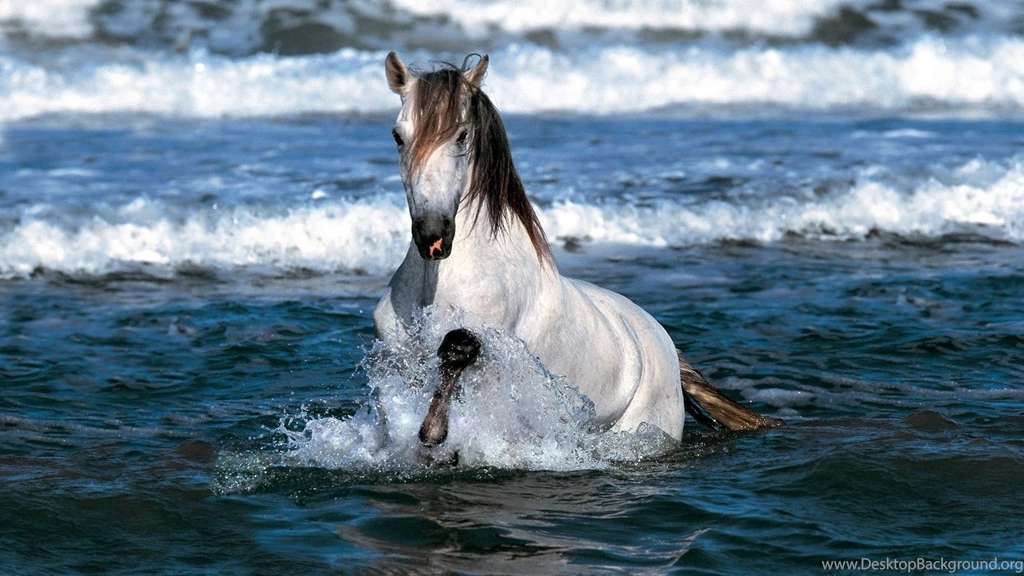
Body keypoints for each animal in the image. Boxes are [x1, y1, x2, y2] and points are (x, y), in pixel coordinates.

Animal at [373, 52, 781, 446]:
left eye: (461, 136)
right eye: (397, 136)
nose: (433, 235)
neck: (438, 282)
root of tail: (666, 345)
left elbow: (458, 348)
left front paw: (434, 432)